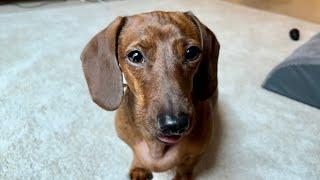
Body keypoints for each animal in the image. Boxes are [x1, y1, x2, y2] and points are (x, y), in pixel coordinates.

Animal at [81, 10, 219, 179]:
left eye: (192, 52)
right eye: (135, 56)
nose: (175, 124)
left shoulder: (196, 154)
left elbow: (185, 167)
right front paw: (140, 168)